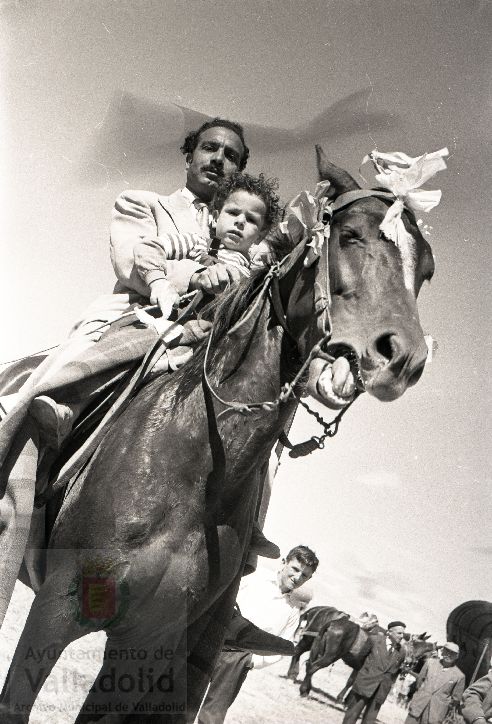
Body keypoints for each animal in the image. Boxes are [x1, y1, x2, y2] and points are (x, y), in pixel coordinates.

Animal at [1, 148, 436, 724]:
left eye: (425, 269)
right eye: (350, 235)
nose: (402, 358)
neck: (192, 471)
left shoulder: (150, 643)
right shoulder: (58, 607)